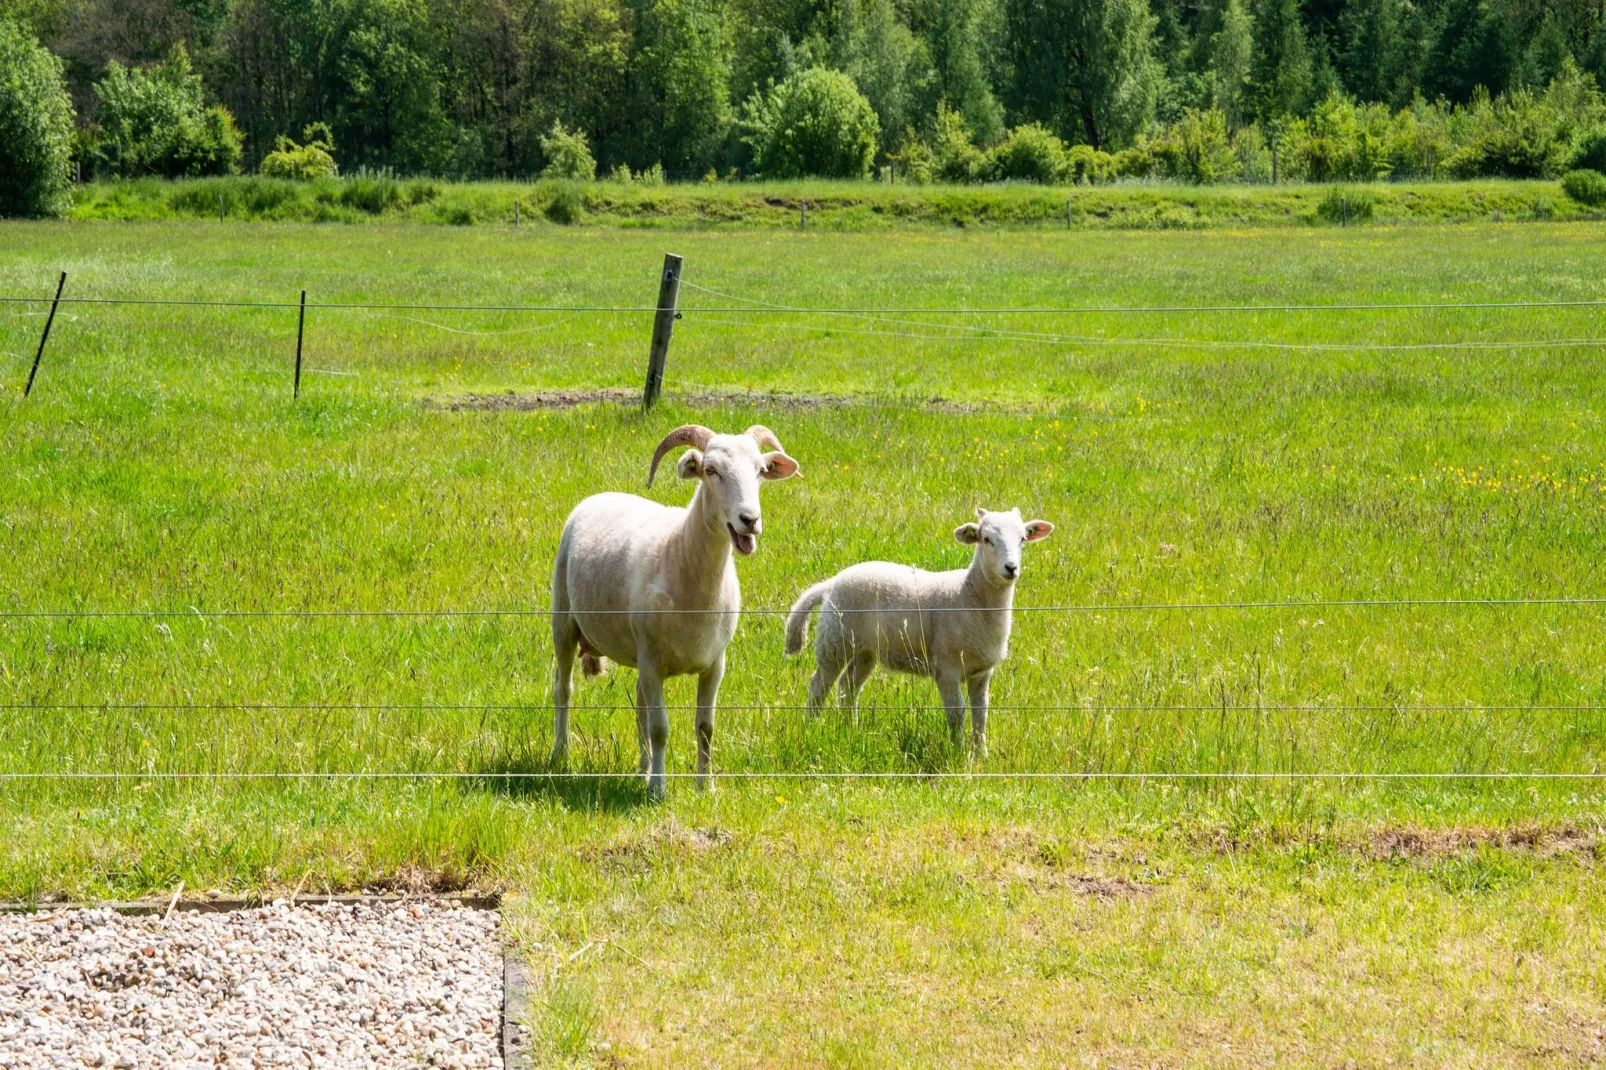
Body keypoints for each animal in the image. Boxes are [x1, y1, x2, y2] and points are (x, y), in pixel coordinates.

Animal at [552, 420, 803, 796]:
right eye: (710, 470)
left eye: (760, 471)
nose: (750, 520)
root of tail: (603, 494)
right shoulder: (653, 660)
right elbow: (660, 727)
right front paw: (658, 789)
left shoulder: (714, 663)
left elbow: (705, 727)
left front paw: (704, 786)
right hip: (564, 621)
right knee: (563, 690)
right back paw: (561, 755)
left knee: (639, 705)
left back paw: (642, 768)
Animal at [786, 507, 1053, 748]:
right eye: (987, 540)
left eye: (1022, 539)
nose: (1011, 568)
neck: (968, 596)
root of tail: (832, 583)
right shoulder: (947, 667)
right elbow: (957, 712)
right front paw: (957, 753)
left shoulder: (981, 671)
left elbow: (981, 714)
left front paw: (980, 755)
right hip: (835, 640)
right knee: (820, 684)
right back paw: (810, 728)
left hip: (865, 649)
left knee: (848, 686)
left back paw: (850, 729)